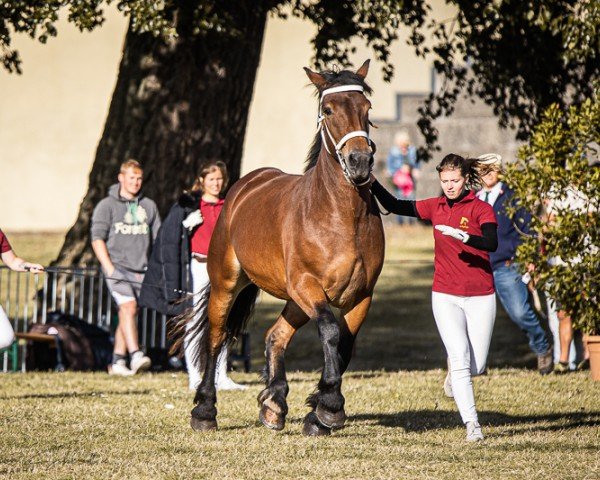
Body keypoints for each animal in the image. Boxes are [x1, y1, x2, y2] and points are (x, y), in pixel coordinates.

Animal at [186, 59, 384, 436]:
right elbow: (331, 333)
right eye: (328, 110)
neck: (341, 217)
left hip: (294, 301)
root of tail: (246, 185)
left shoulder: (361, 296)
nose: (359, 162)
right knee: (215, 337)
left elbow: (345, 345)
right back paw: (204, 410)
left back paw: (274, 404)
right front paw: (330, 407)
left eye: (367, 108)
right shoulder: (307, 286)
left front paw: (318, 412)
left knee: (275, 336)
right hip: (227, 284)